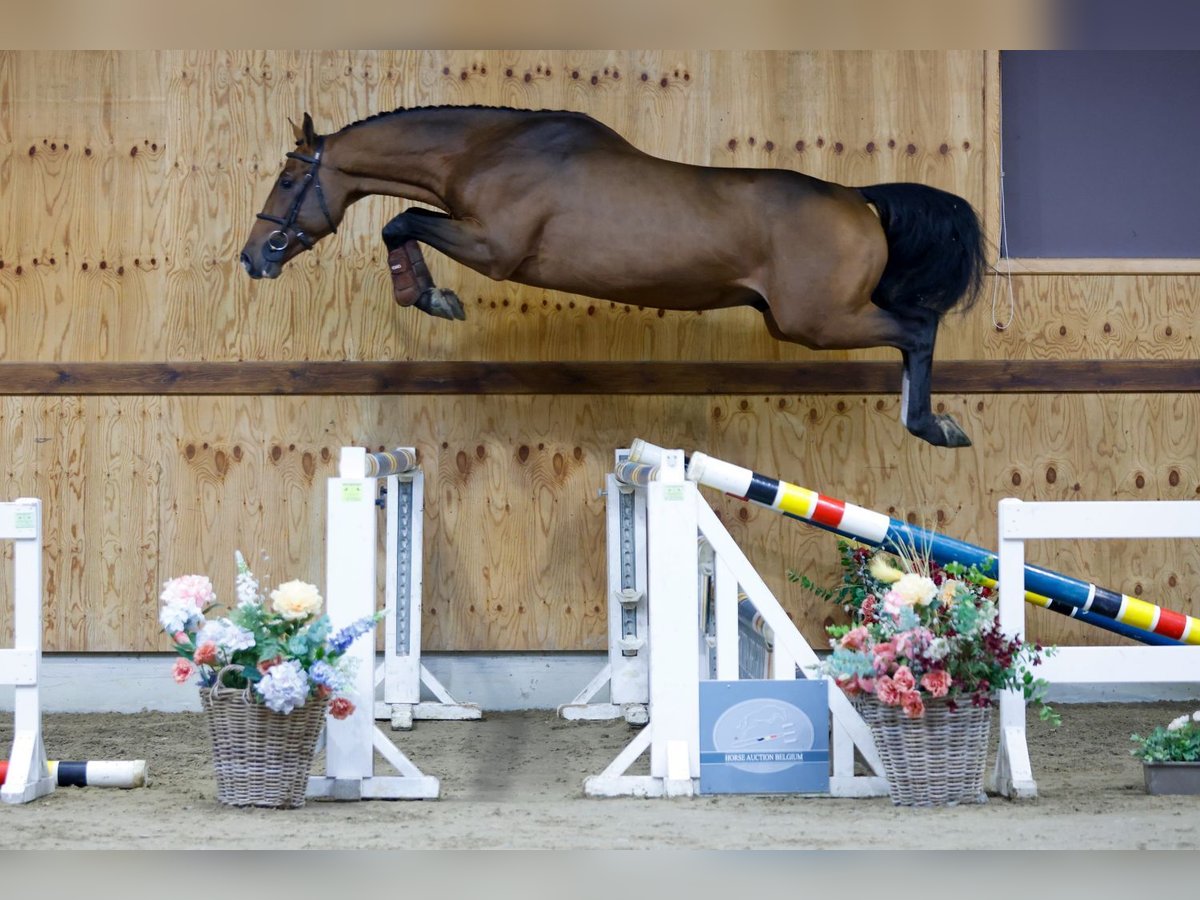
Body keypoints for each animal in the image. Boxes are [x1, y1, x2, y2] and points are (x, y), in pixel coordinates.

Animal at [241, 109, 984, 448]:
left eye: (287, 180)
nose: (255, 257)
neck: (486, 151)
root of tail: (859, 197)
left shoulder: (492, 247)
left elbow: (401, 221)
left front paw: (431, 297)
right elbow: (403, 222)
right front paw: (427, 294)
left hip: (818, 322)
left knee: (918, 327)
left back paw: (931, 425)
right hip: (801, 321)